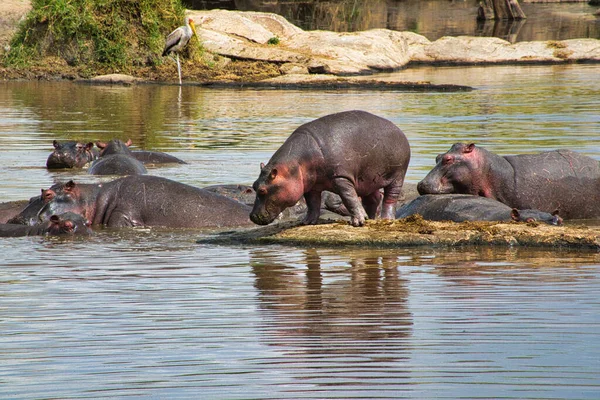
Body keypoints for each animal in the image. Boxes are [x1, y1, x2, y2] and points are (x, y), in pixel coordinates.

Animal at [250, 111, 412, 227]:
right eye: (254, 185)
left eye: (262, 190)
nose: (252, 217)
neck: (294, 165)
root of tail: (399, 130)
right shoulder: (311, 185)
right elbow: (312, 204)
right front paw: (307, 222)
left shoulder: (341, 177)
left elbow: (349, 198)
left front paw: (358, 222)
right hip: (368, 179)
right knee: (373, 199)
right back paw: (370, 219)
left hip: (398, 175)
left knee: (390, 198)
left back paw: (386, 219)